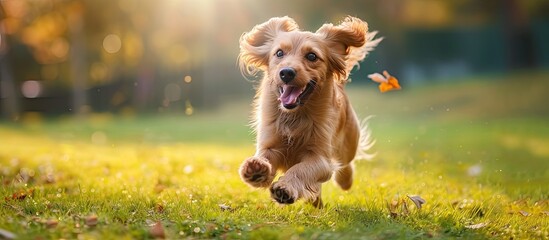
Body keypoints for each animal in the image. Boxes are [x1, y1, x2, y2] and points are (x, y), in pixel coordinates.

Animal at [235, 15, 382, 207]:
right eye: (279, 53)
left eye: (312, 56)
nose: (286, 73)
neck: (295, 115)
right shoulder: (271, 144)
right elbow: (265, 156)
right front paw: (256, 168)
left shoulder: (320, 158)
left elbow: (301, 169)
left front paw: (285, 188)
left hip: (349, 141)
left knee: (346, 164)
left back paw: (344, 181)